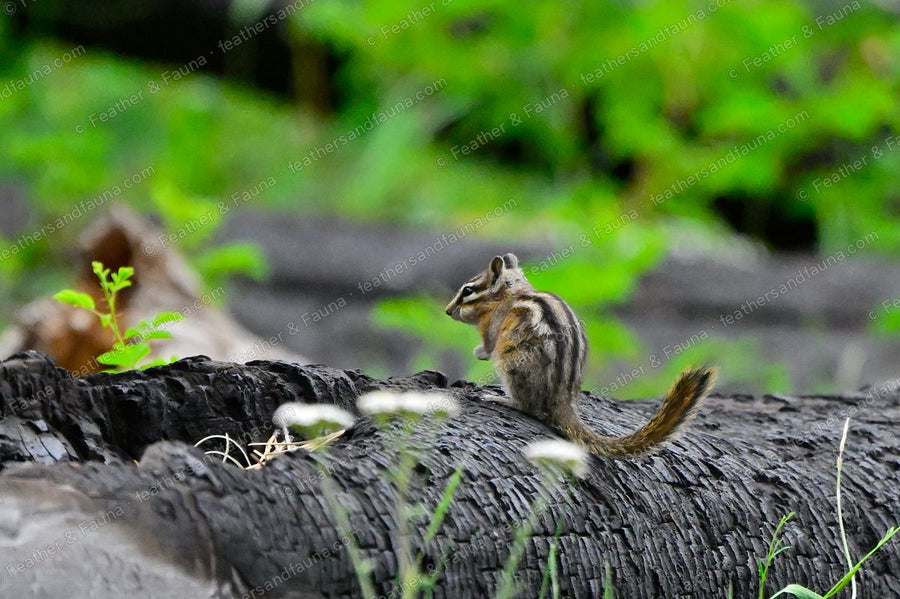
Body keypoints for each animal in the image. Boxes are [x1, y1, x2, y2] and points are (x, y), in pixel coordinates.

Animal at [445, 252, 716, 456]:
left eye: (468, 291)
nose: (447, 311)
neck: (514, 293)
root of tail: (563, 399)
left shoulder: (493, 326)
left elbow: (488, 346)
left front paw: (479, 352)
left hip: (512, 364)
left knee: (529, 407)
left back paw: (501, 399)